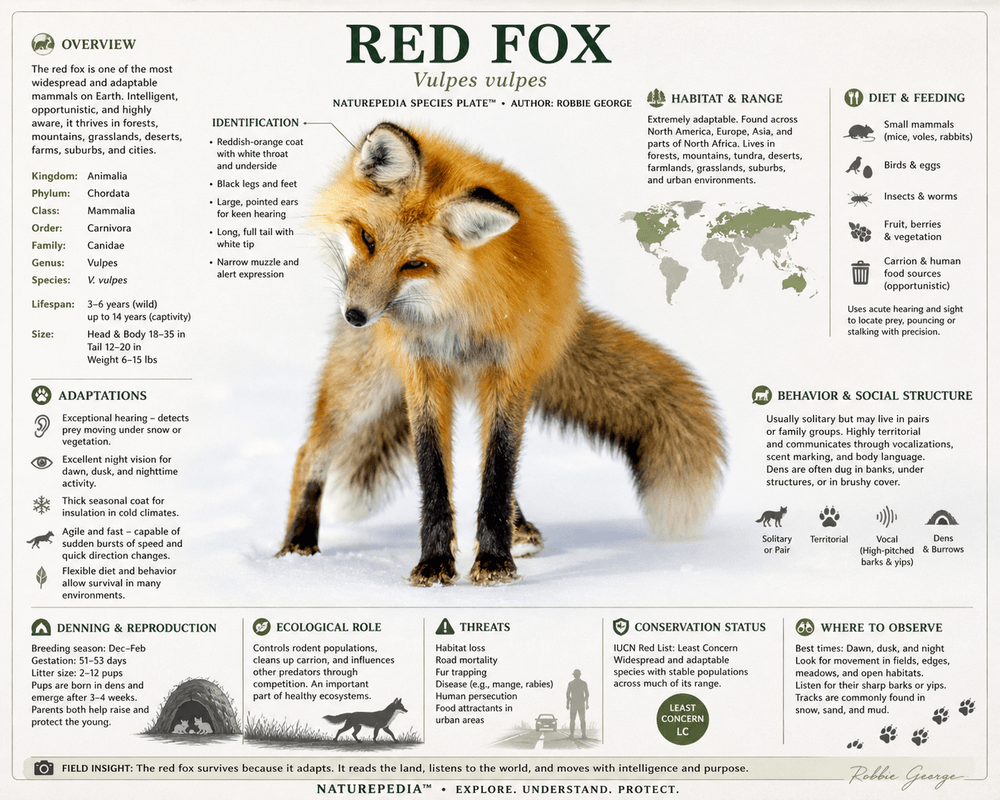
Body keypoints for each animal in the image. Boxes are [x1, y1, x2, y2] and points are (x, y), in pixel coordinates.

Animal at [276, 122, 725, 586]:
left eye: (414, 264)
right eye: (367, 238)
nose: (356, 316)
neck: (455, 313)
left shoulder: (510, 371)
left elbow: (499, 469)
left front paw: (494, 561)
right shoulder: (422, 371)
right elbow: (433, 472)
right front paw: (434, 563)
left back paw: (519, 530)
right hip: (363, 385)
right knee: (309, 452)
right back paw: (298, 544)